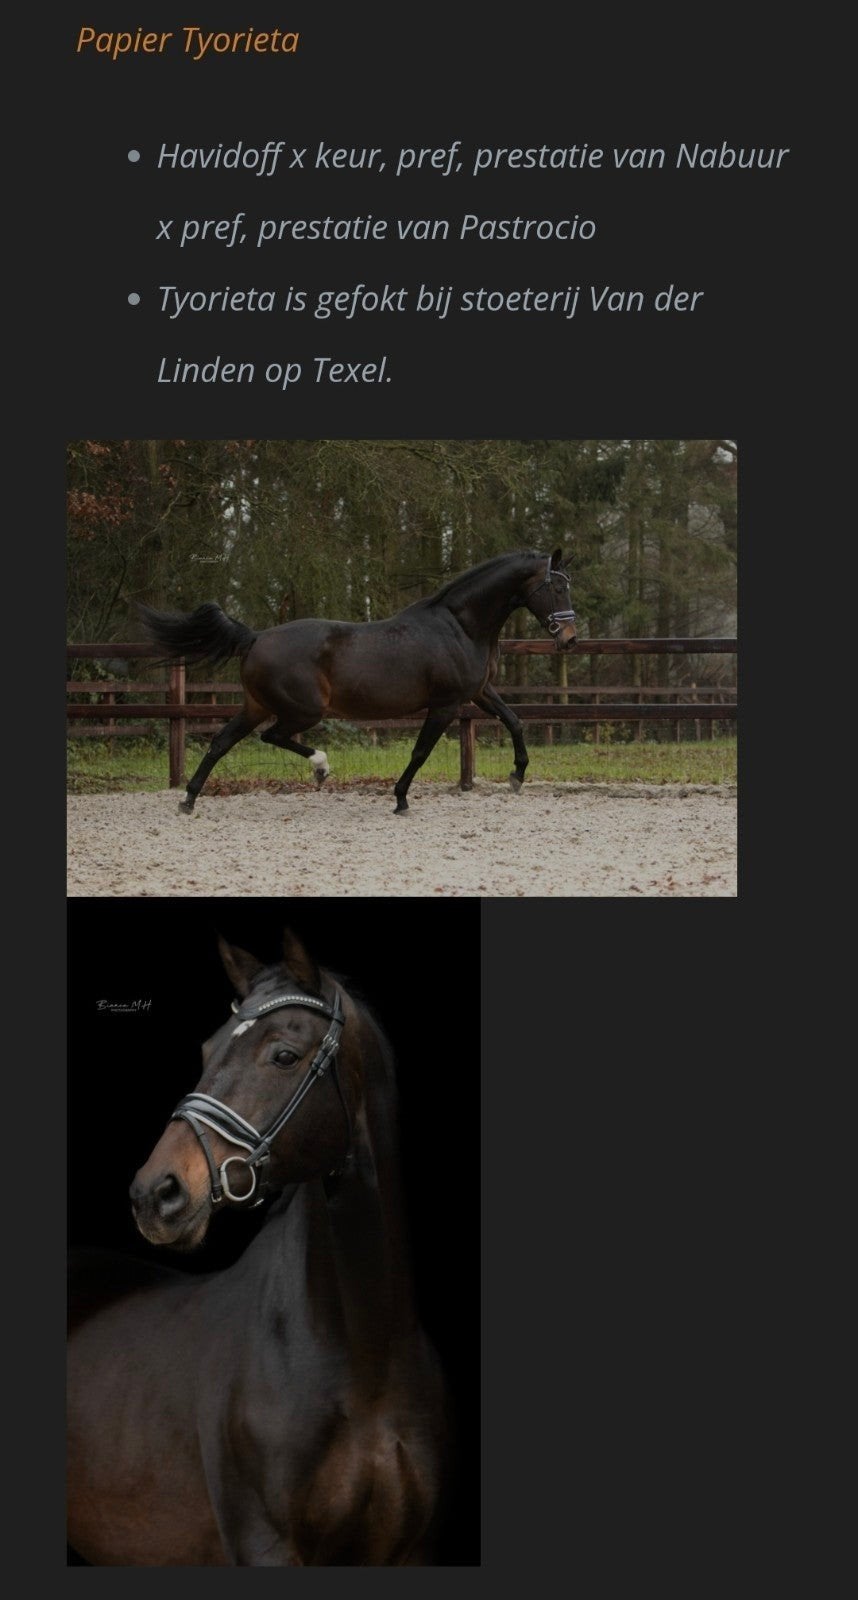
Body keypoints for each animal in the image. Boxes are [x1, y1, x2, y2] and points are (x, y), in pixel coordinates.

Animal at [67, 930, 451, 1566]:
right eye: (207, 1050)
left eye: (284, 1056)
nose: (155, 1194)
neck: (365, 1352)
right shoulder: (267, 1545)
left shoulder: (410, 1550)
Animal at [138, 546, 576, 813]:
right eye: (556, 586)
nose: (570, 639)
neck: (461, 626)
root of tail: (255, 637)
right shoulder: (447, 703)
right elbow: (421, 751)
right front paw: (400, 799)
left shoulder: (479, 692)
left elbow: (515, 721)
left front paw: (517, 776)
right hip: (304, 710)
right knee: (272, 736)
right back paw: (320, 766)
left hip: (256, 705)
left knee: (221, 742)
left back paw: (189, 800)